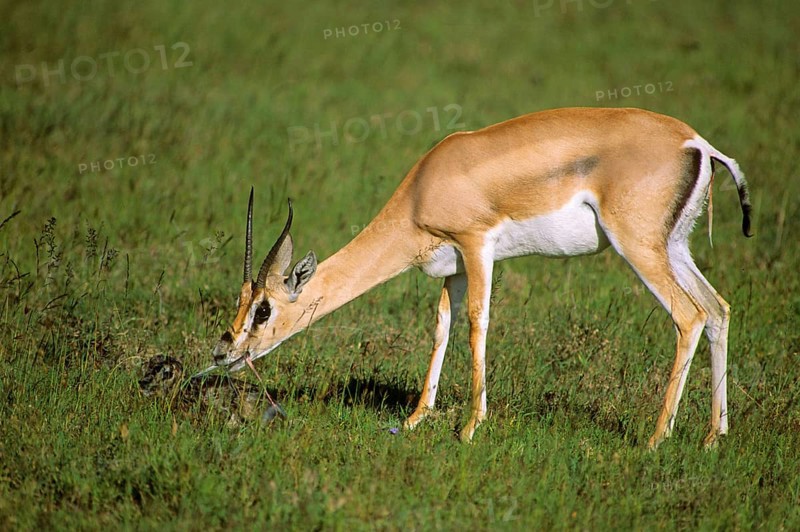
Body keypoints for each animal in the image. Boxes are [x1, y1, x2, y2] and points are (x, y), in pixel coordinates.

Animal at [205, 107, 752, 448]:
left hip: (638, 247)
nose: (223, 352)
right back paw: (713, 437)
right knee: (718, 309)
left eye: (263, 310)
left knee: (689, 316)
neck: (424, 189)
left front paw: (470, 427)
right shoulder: (453, 270)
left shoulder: (476, 247)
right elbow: (441, 328)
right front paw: (415, 419)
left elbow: (476, 324)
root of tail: (698, 144)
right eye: (241, 301)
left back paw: (657, 437)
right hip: (673, 248)